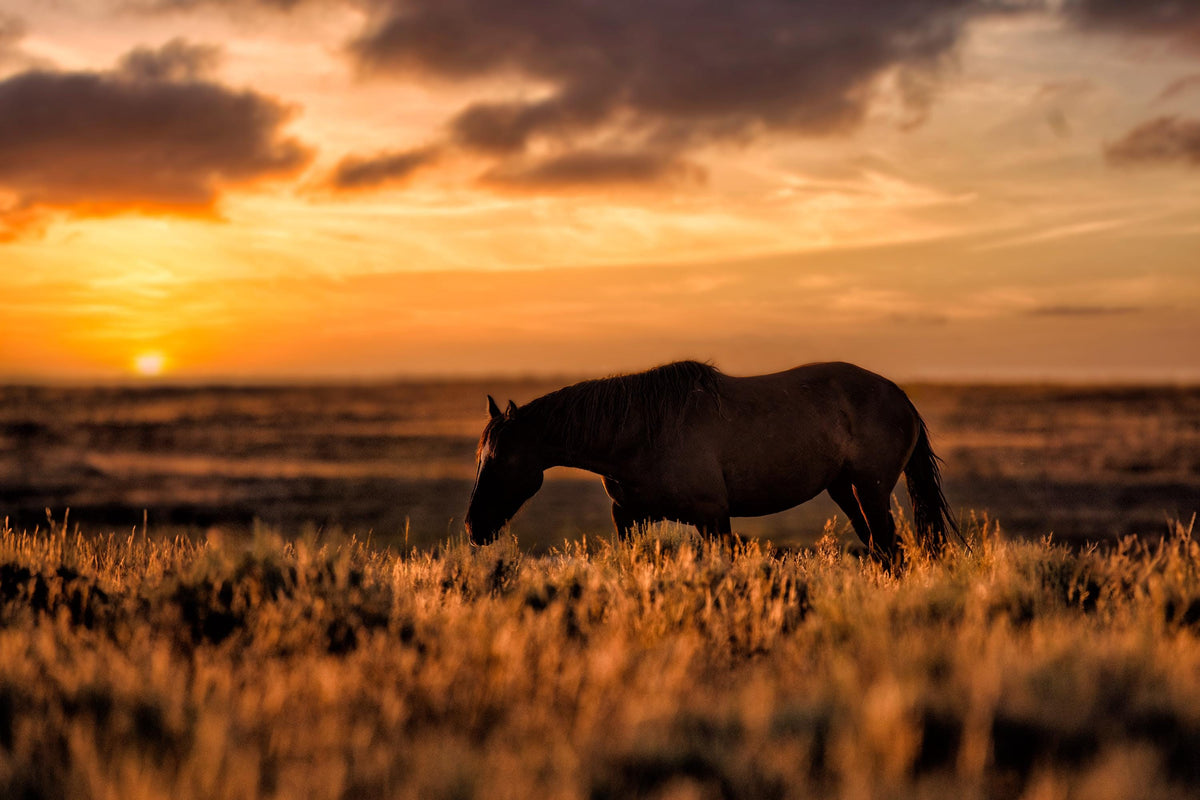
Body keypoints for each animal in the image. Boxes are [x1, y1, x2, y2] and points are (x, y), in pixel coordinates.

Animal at [465, 361, 957, 561]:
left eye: (503, 461)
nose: (473, 528)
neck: (639, 432)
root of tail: (898, 395)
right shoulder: (629, 516)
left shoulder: (713, 517)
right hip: (844, 489)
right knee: (878, 547)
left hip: (870, 489)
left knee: (889, 548)